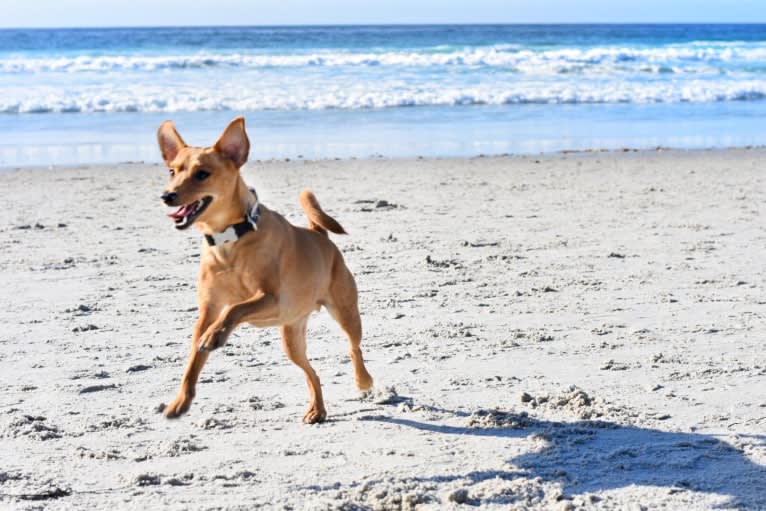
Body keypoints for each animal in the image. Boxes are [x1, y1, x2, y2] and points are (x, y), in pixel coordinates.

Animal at [156, 117, 372, 424]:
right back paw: (317, 410)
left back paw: (363, 381)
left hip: (345, 312)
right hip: (292, 337)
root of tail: (319, 235)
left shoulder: (270, 298)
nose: (167, 195)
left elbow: (235, 310)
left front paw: (216, 335)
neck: (230, 241)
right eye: (172, 171)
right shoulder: (207, 312)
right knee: (313, 374)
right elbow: (193, 362)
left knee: (354, 348)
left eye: (202, 174)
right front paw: (180, 402)